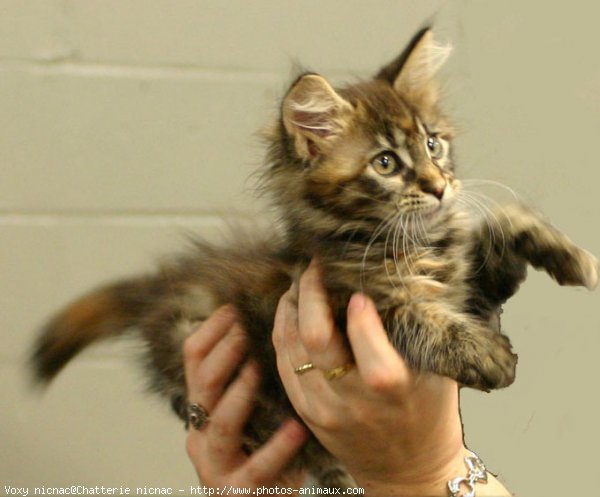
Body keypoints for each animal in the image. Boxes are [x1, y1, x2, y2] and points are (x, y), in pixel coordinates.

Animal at [32, 29, 600, 486]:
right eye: (386, 163)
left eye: (433, 144)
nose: (440, 187)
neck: (409, 241)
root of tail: (167, 279)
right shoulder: (344, 303)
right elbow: (416, 316)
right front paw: (487, 355)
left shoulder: (475, 289)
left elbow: (505, 220)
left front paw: (572, 257)